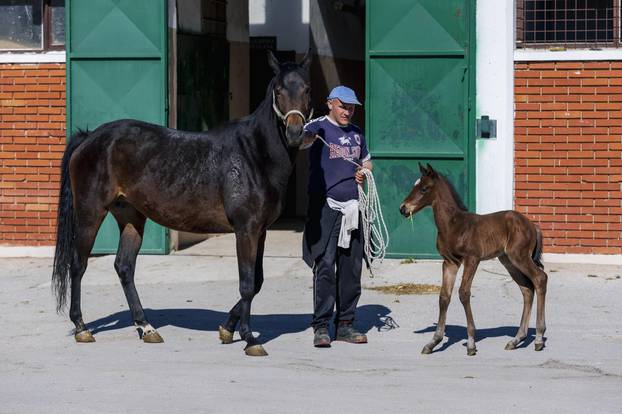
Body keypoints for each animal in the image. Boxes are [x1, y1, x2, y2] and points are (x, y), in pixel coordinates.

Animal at [53, 51, 314, 356]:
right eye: (279, 90)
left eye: (307, 89)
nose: (295, 132)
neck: (254, 154)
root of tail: (89, 137)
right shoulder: (245, 230)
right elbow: (247, 283)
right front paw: (250, 338)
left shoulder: (260, 231)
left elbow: (257, 281)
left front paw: (227, 329)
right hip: (90, 213)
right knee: (78, 264)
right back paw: (81, 328)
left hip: (131, 217)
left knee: (124, 267)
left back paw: (146, 327)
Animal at [400, 164, 552, 356]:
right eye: (415, 185)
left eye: (424, 188)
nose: (403, 208)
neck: (453, 225)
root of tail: (533, 225)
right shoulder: (450, 263)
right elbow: (444, 296)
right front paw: (433, 342)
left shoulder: (472, 259)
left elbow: (464, 293)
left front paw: (471, 343)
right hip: (508, 261)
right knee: (527, 289)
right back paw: (517, 339)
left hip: (519, 256)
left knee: (540, 278)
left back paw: (538, 337)